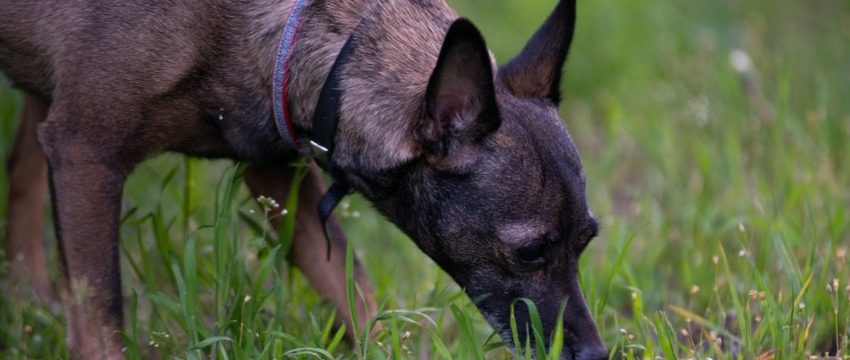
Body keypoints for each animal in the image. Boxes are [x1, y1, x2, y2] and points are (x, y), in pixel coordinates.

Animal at [3, 0, 608, 358]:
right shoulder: (86, 153)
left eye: (587, 242)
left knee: (21, 175)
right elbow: (100, 318)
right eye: (530, 253)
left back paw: (28, 296)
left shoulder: (275, 174)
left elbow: (350, 286)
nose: (595, 353)